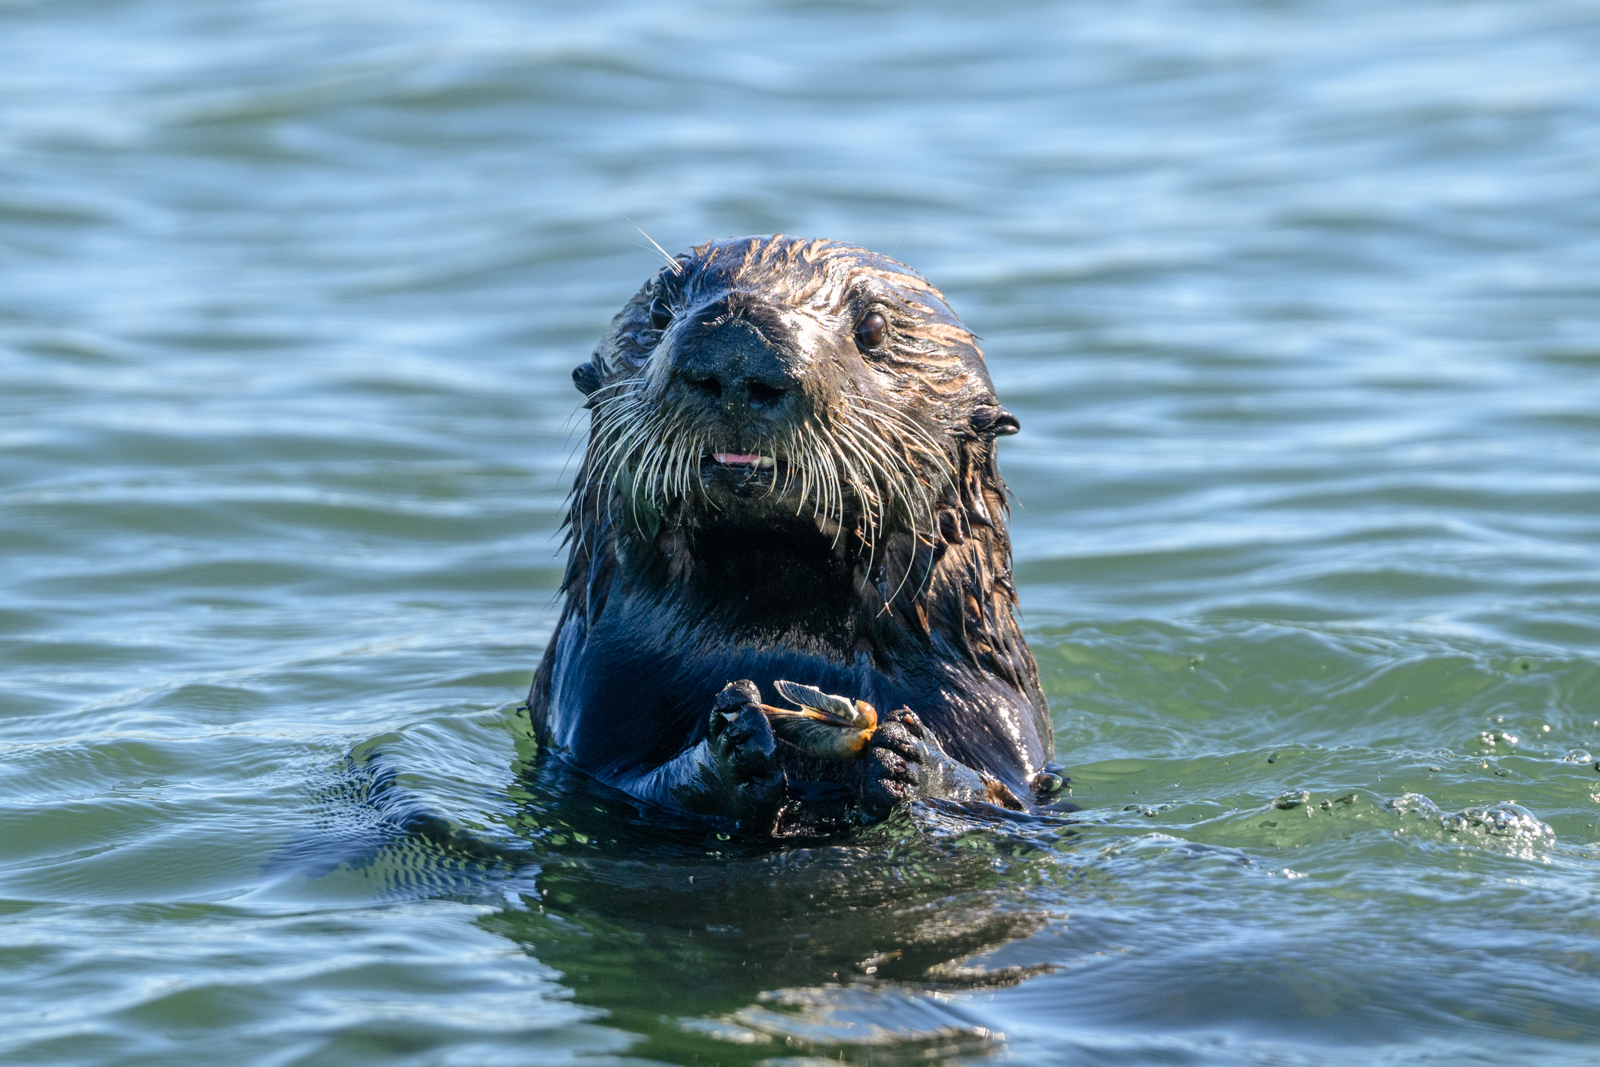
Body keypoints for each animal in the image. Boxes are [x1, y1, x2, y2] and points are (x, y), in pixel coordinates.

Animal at [529, 236, 1060, 834]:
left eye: (874, 327)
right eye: (661, 311)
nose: (738, 349)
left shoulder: (990, 715)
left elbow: (999, 796)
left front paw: (912, 758)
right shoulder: (596, 701)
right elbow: (630, 785)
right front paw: (733, 744)